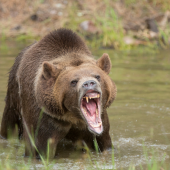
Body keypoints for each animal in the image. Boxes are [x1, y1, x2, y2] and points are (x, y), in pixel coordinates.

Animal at [0, 28, 116, 158]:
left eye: (97, 76)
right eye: (73, 81)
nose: (89, 83)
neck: (72, 116)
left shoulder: (99, 123)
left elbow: (104, 143)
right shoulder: (45, 117)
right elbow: (39, 148)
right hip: (14, 96)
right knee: (10, 124)